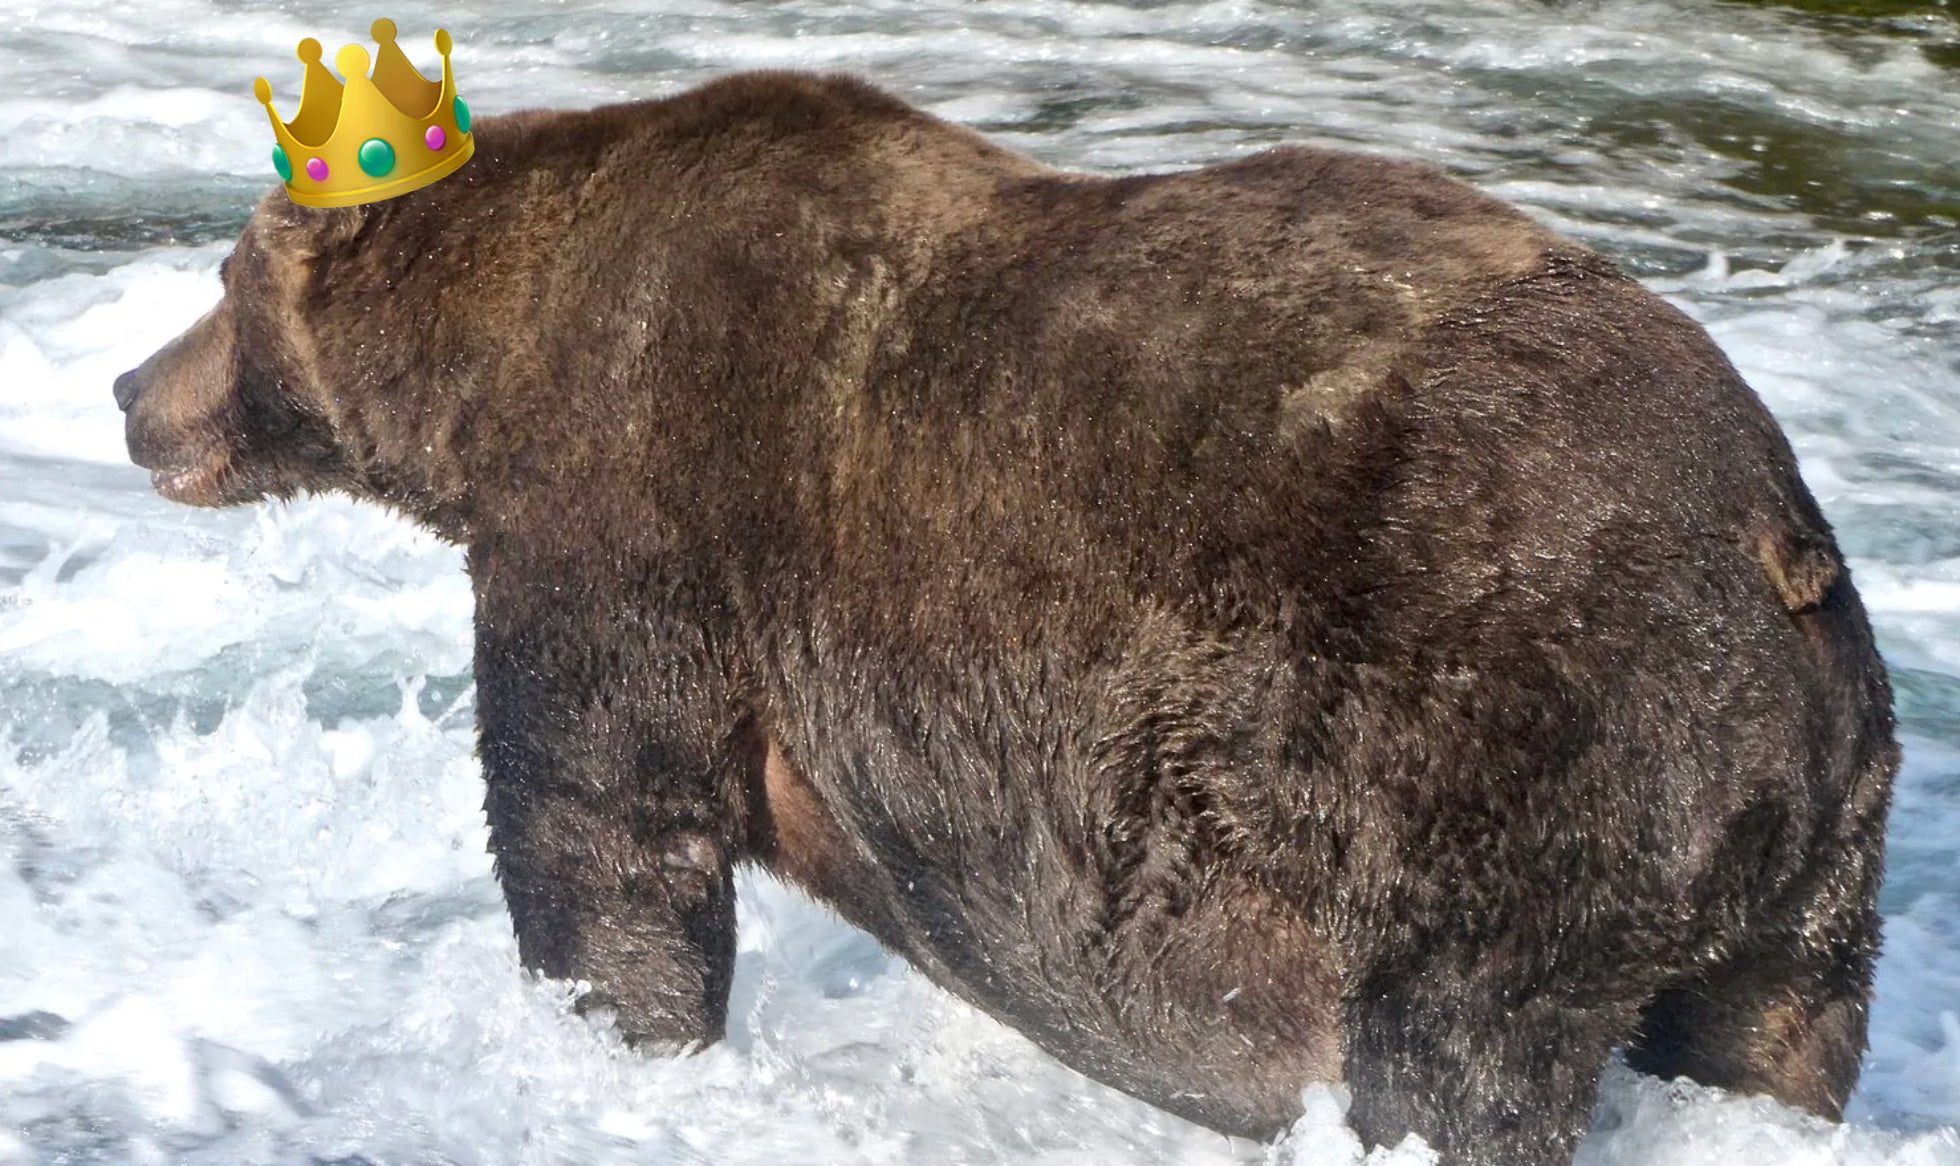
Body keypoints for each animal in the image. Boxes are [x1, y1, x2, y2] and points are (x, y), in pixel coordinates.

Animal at [114, 71, 1897, 1165]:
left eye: (218, 277)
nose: (131, 392)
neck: (484, 373)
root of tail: (1778, 542)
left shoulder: (638, 496)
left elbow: (601, 820)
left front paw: (608, 1036)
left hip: (1503, 738)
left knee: (1457, 1053)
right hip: (1806, 851)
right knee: (1770, 1031)